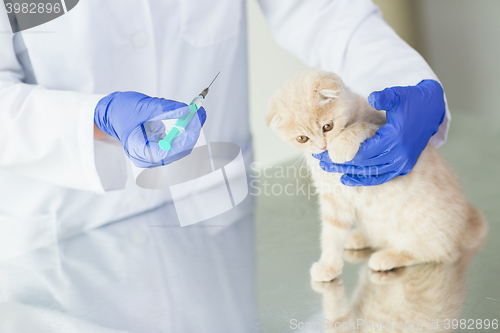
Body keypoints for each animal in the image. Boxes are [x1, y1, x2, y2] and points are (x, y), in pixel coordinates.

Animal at [268, 69, 486, 280]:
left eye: (327, 127)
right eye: (302, 138)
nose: (322, 146)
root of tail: (465, 227)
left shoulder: (381, 127)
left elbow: (360, 126)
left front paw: (341, 145)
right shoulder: (334, 198)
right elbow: (332, 233)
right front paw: (329, 264)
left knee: (435, 253)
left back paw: (389, 256)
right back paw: (360, 237)